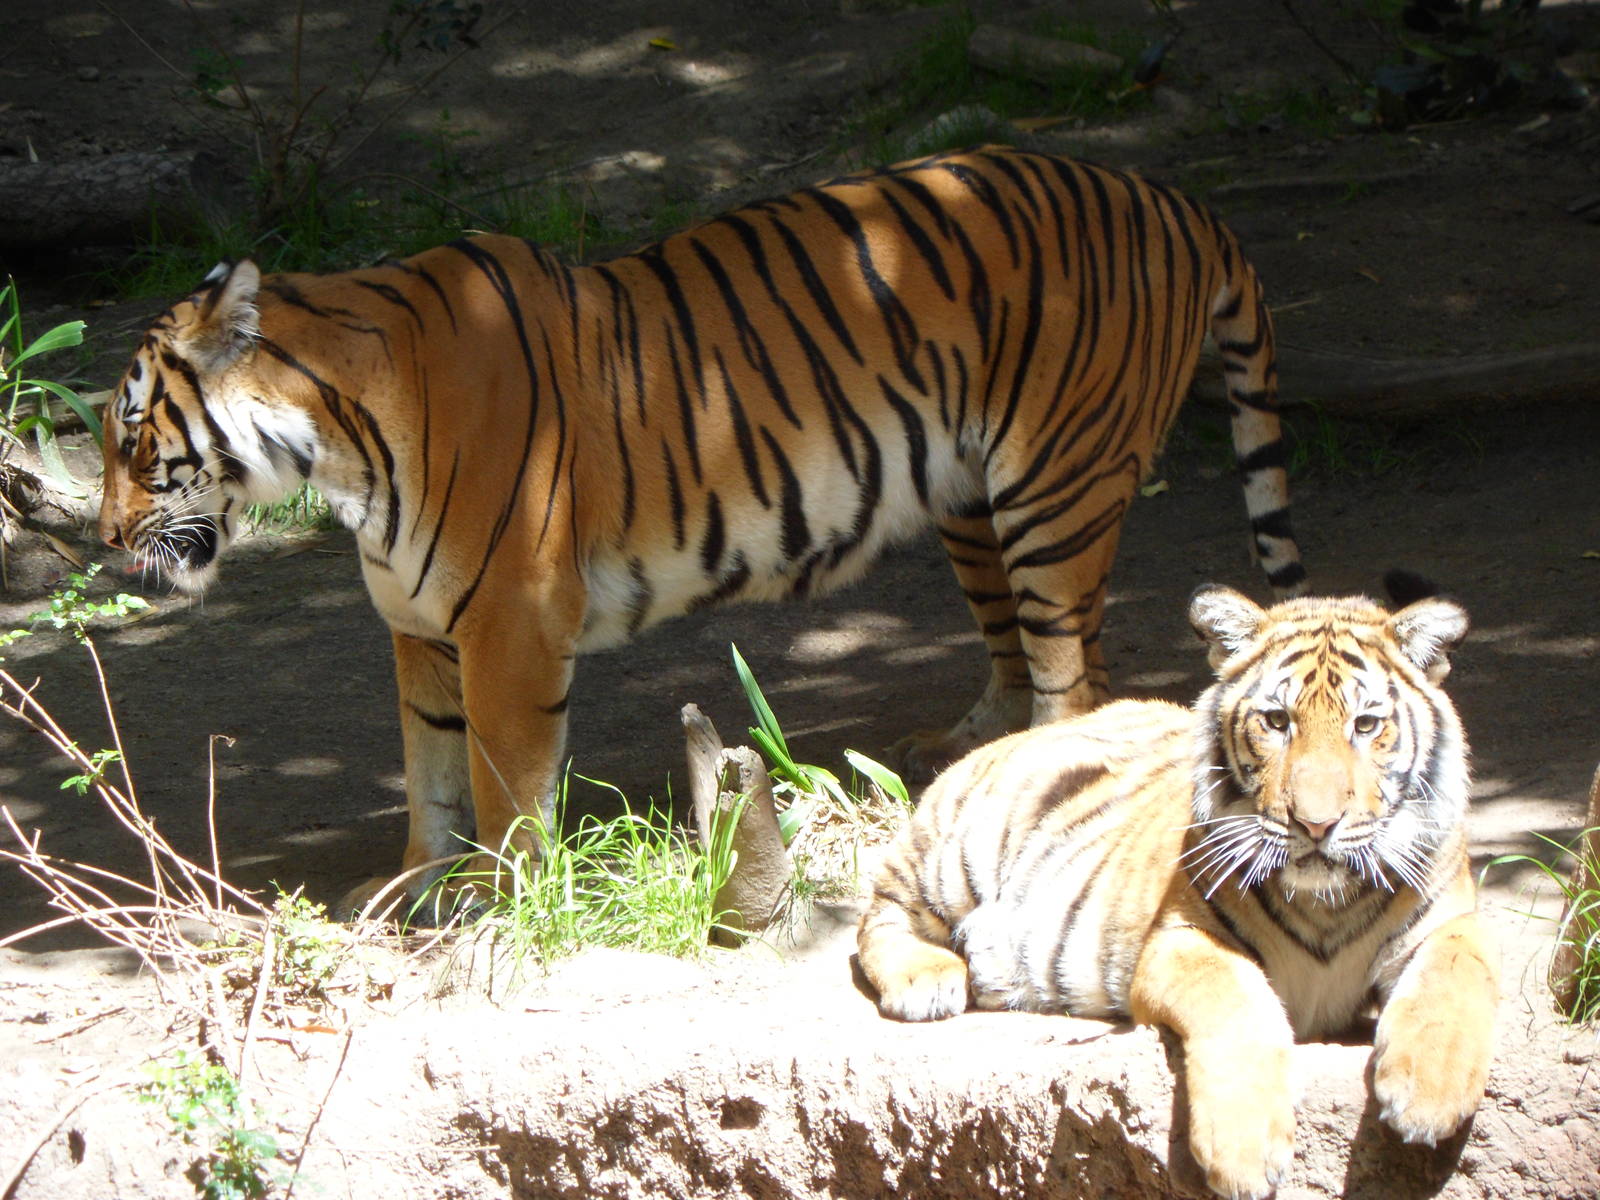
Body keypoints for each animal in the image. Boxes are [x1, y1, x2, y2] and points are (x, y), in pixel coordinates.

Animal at [96, 147, 1305, 909]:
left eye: (129, 430)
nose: (102, 536)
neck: (338, 448)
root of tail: (1172, 198)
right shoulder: (420, 630)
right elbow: (429, 772)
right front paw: (410, 885)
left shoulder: (506, 624)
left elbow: (500, 779)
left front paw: (495, 897)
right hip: (971, 498)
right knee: (1015, 650)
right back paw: (959, 750)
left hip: (1054, 490)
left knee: (1073, 673)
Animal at [857, 580, 1496, 1199]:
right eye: (1276, 721)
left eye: (1366, 725)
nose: (1316, 825)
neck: (1325, 900)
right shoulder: (1183, 937)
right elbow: (1238, 1005)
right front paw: (1243, 1160)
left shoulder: (1447, 923)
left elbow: (1456, 979)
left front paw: (1425, 1102)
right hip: (955, 851)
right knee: (879, 913)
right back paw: (928, 980)